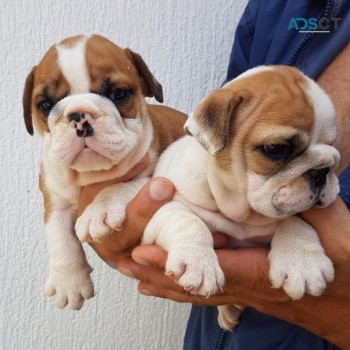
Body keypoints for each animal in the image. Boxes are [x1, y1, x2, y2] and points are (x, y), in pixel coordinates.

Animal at [22, 34, 186, 310]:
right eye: (45, 104)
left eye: (118, 94)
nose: (79, 115)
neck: (91, 174)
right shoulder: (55, 199)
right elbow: (58, 235)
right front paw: (69, 282)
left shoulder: (158, 176)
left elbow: (124, 184)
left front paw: (100, 209)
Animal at [139, 65, 340, 330]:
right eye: (276, 149)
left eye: (333, 144)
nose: (323, 170)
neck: (241, 212)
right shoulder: (163, 208)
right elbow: (186, 220)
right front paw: (198, 263)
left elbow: (295, 221)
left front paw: (303, 264)